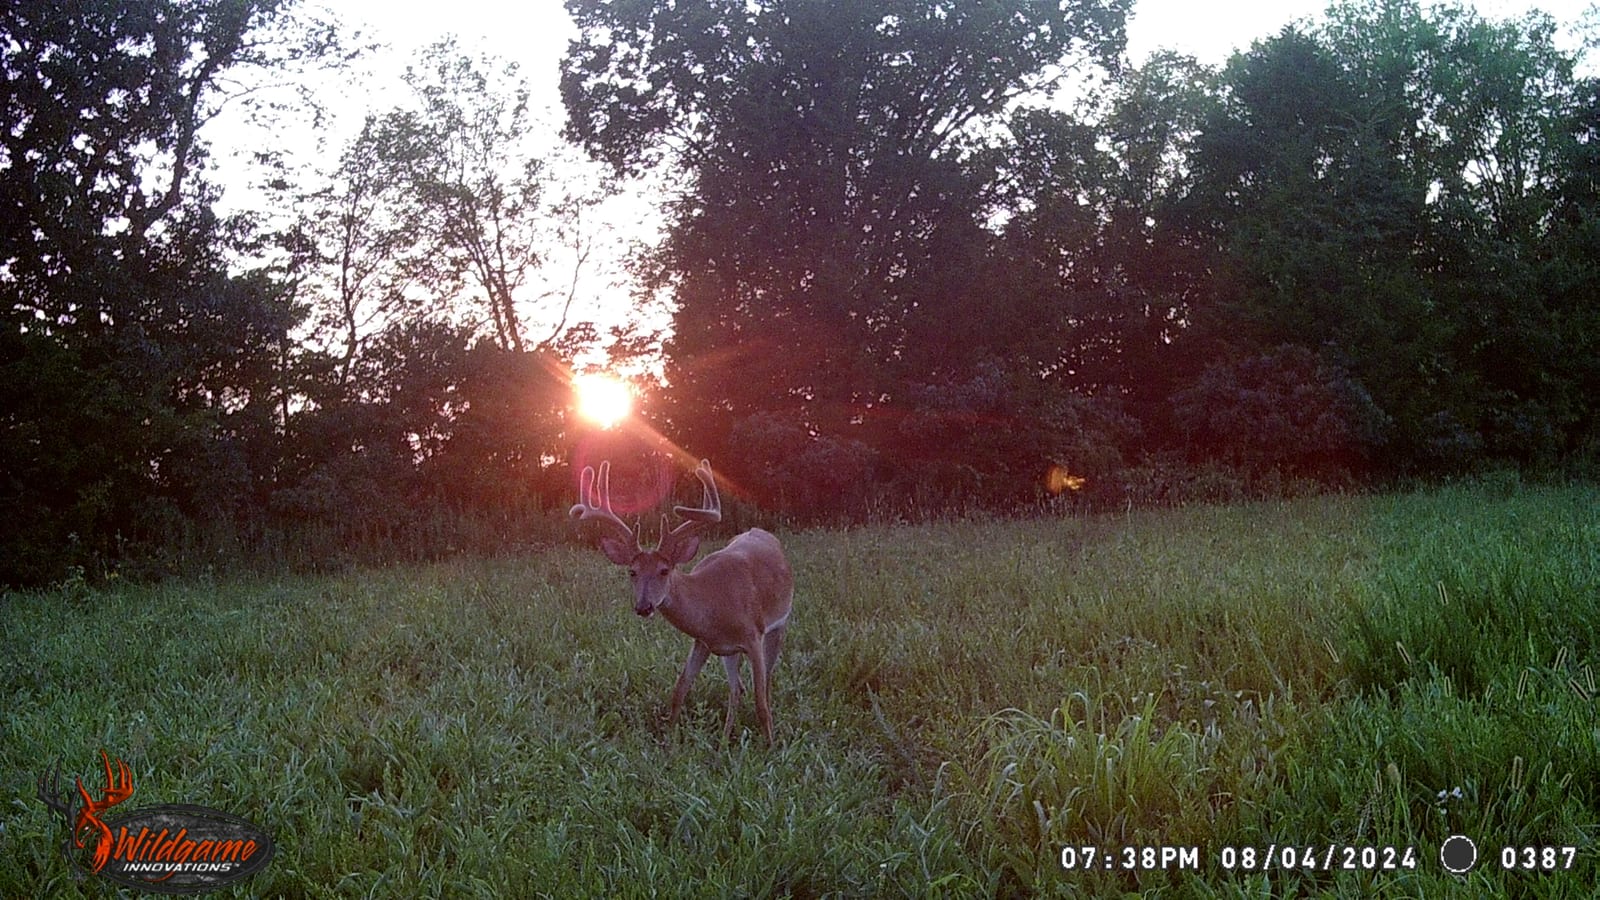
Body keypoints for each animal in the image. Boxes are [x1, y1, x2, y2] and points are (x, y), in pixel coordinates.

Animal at [571, 458, 793, 745]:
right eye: (632, 572)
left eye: (664, 570)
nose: (643, 606)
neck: (713, 602)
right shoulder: (703, 641)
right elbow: (680, 690)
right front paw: (669, 742)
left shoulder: (754, 635)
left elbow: (761, 701)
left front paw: (771, 746)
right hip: (729, 652)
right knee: (736, 689)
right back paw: (724, 741)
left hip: (779, 626)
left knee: (765, 682)